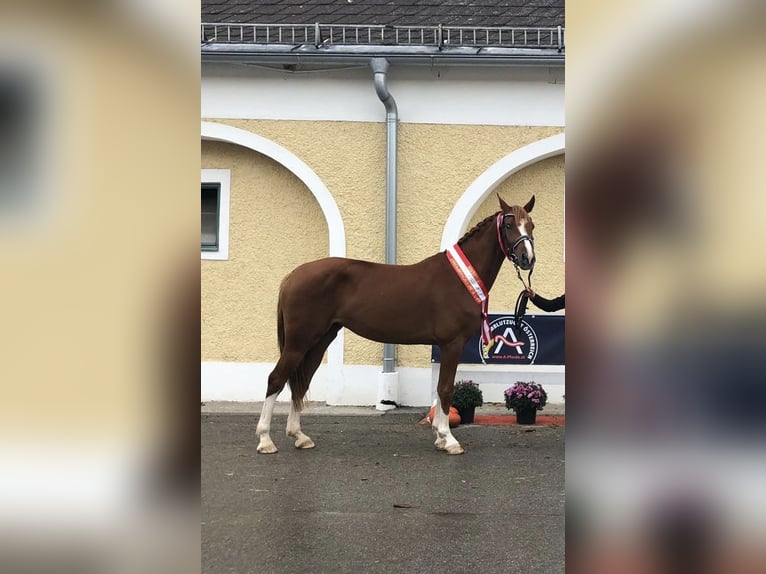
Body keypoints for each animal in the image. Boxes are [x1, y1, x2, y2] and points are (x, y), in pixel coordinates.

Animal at [256, 194, 536, 455]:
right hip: (299, 342)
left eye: (531, 225)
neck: (460, 279)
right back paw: (266, 440)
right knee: (276, 379)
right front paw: (449, 439)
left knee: (300, 383)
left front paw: (440, 437)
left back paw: (300, 436)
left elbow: (440, 389)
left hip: (319, 341)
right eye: (509, 225)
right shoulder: (452, 344)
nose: (527, 259)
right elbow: (445, 389)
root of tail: (293, 275)